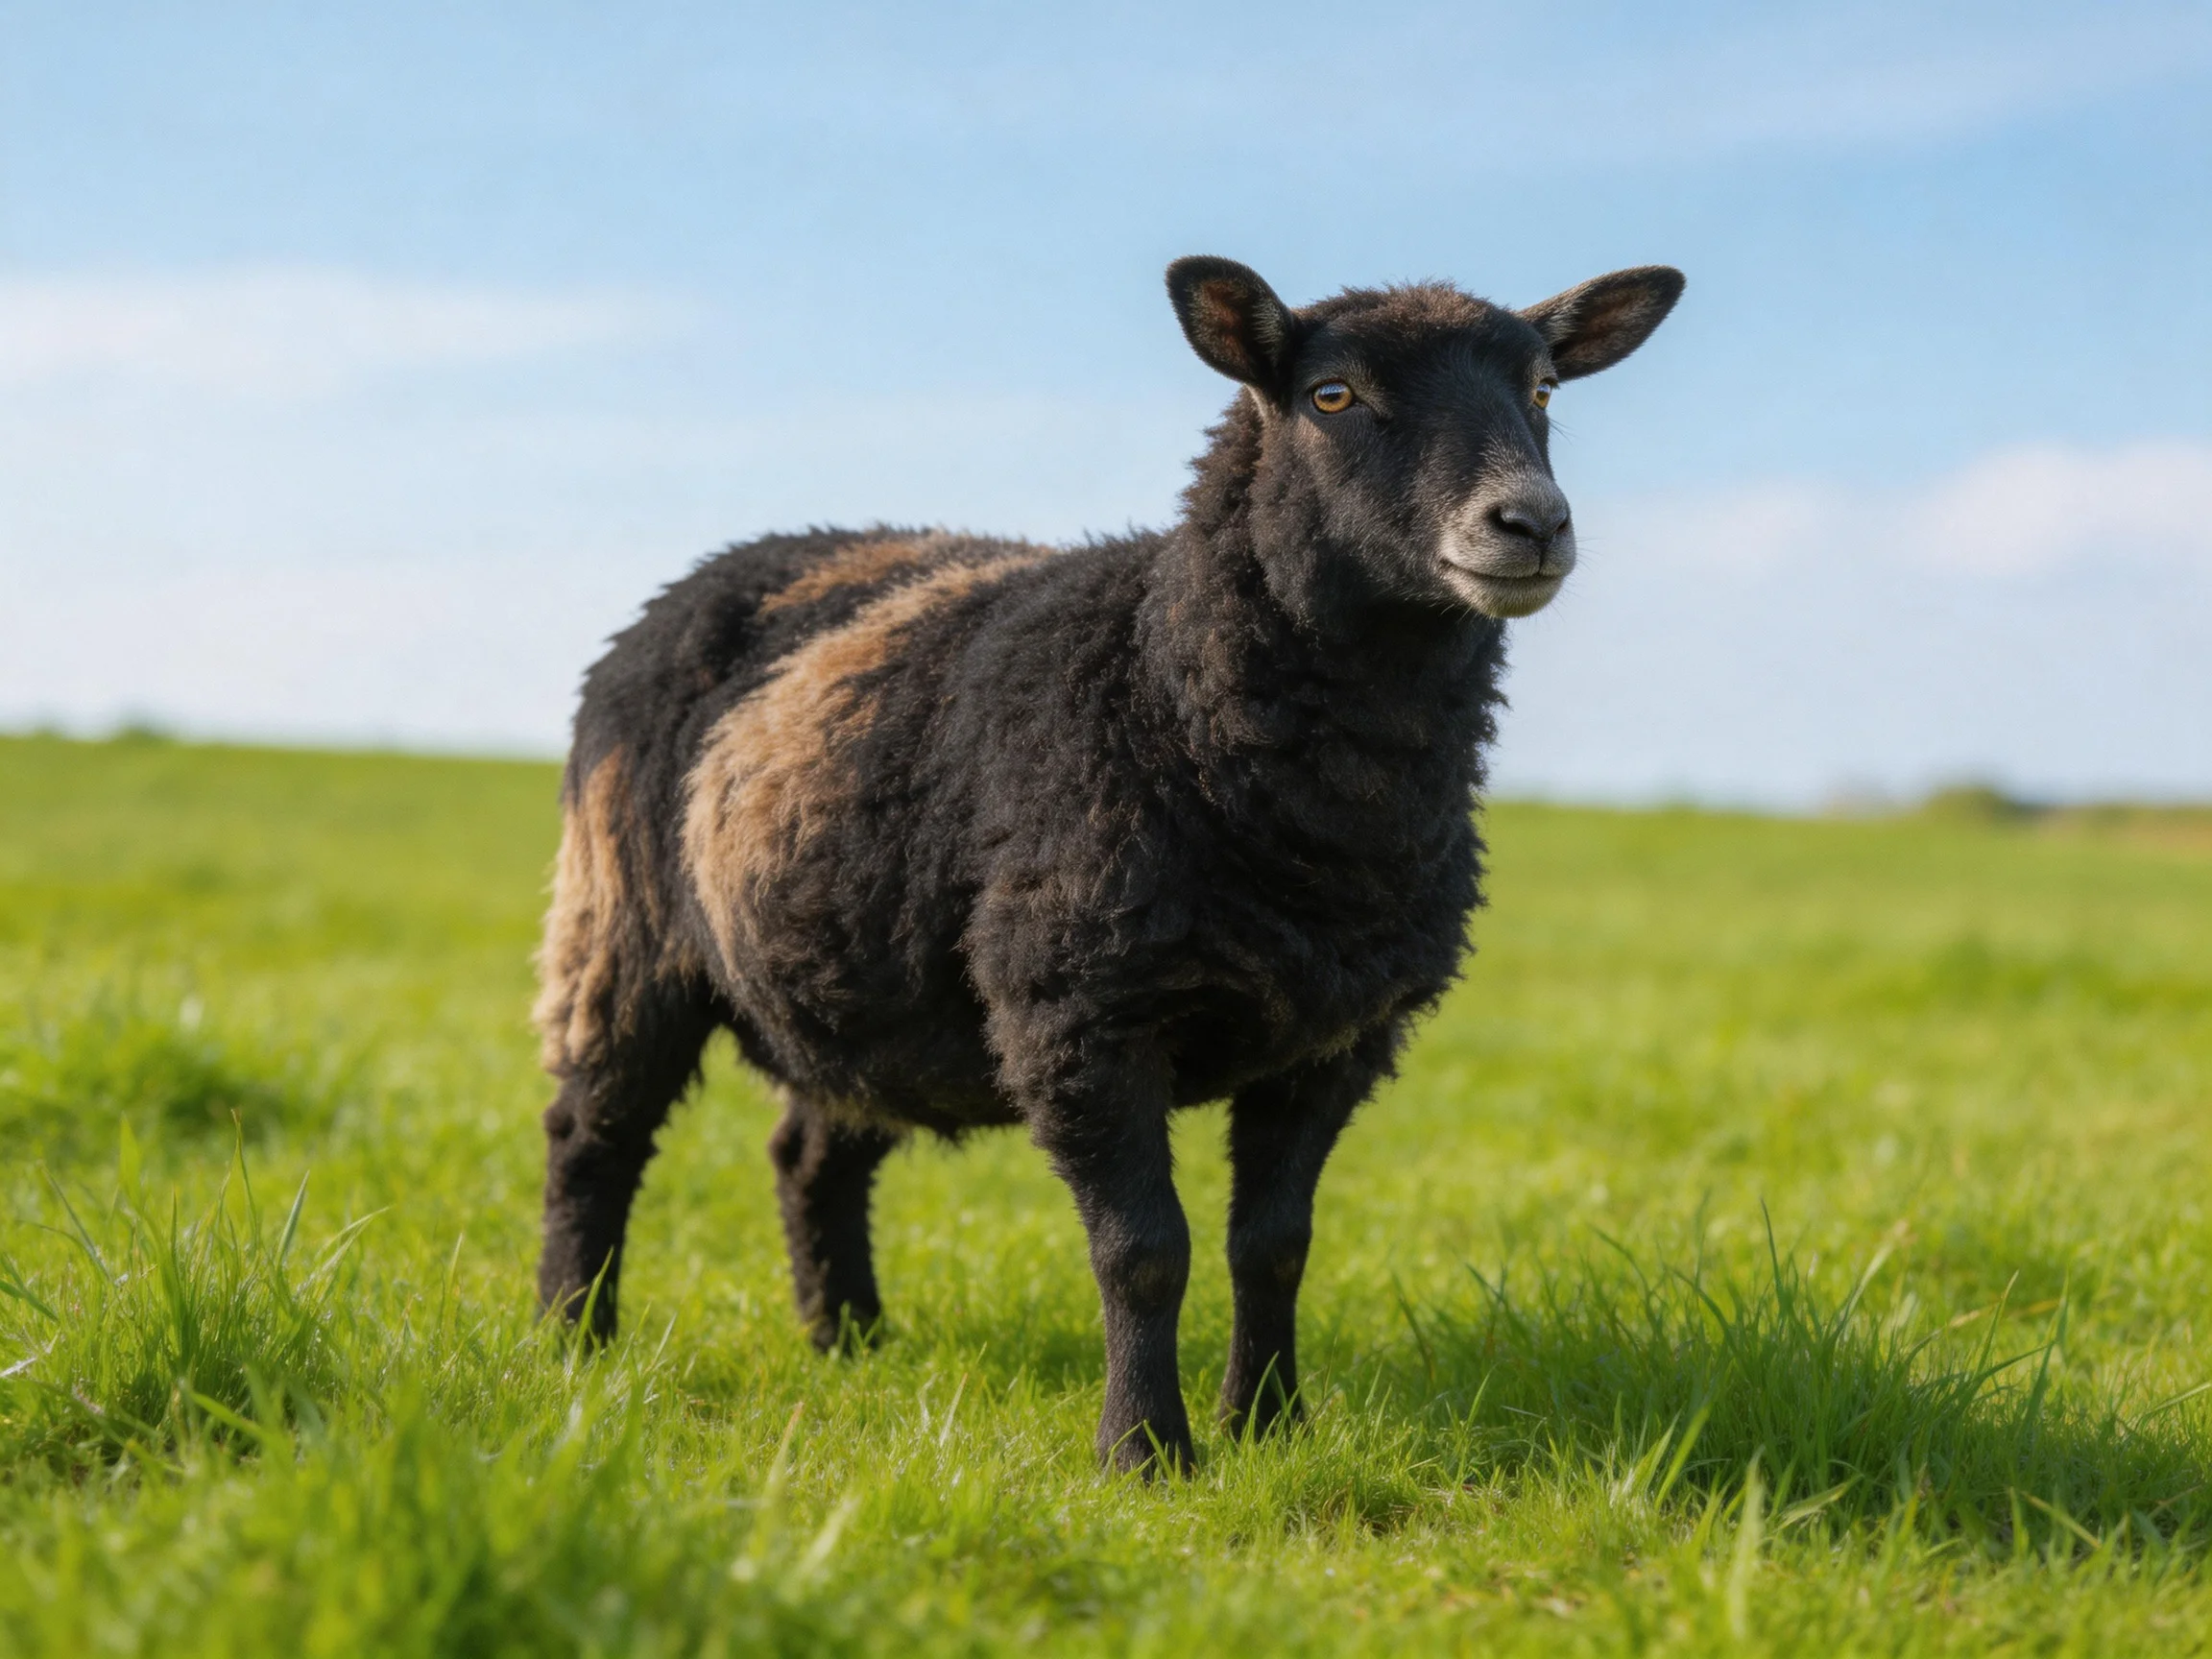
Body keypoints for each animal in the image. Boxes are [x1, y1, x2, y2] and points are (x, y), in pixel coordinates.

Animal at [533, 255, 1684, 1472]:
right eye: (1332, 395)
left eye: (1545, 390)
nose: (1532, 522)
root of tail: (722, 565)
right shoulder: (1079, 1012)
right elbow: (1144, 1251)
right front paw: (1145, 1453)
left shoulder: (1338, 1037)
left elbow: (1274, 1245)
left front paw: (1266, 1423)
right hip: (621, 924)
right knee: (593, 1135)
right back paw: (572, 1340)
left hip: (862, 979)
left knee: (812, 1153)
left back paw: (852, 1342)